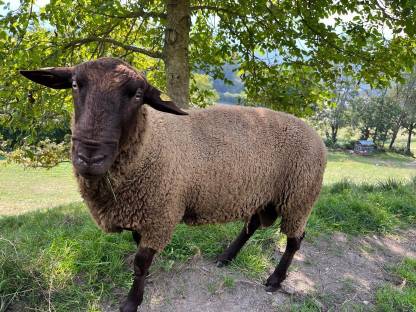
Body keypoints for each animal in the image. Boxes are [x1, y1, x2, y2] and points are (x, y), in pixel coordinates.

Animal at [20, 56, 324, 312]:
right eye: (74, 84)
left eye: (138, 95)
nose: (89, 157)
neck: (149, 145)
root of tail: (313, 132)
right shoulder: (143, 213)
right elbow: (139, 255)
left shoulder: (160, 216)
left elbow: (140, 263)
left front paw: (132, 302)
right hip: (262, 194)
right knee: (251, 226)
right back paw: (226, 257)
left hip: (299, 196)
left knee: (295, 240)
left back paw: (275, 279)